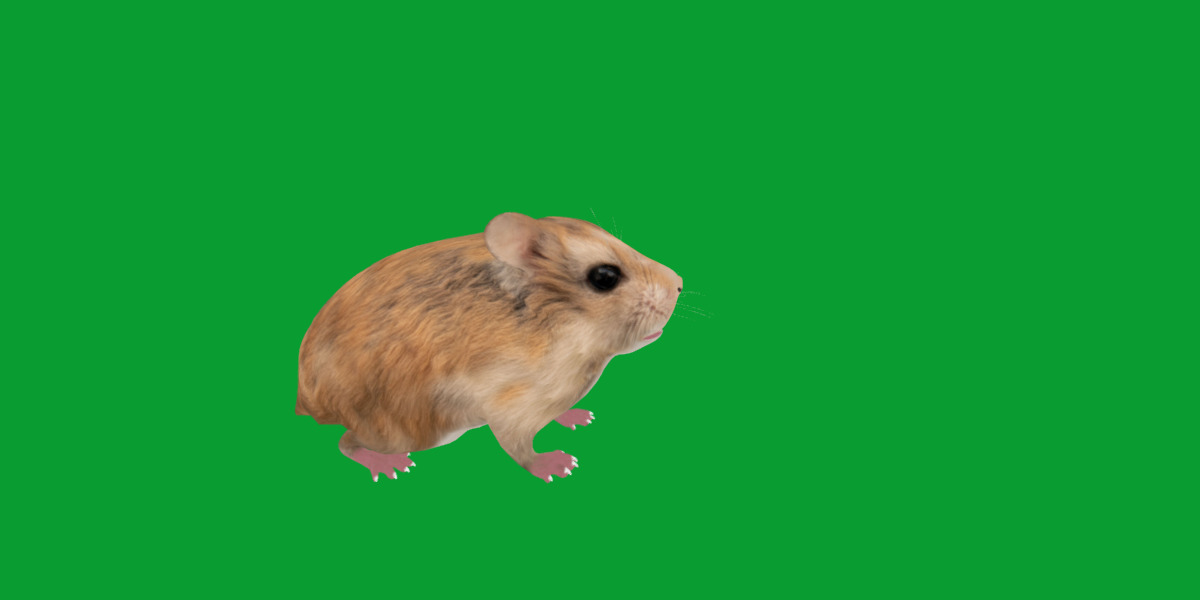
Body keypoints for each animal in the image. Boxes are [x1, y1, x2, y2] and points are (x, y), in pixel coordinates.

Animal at [297, 212, 682, 482]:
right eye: (604, 277)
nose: (679, 283)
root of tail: (306, 400)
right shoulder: (510, 406)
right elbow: (519, 448)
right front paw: (559, 465)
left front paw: (579, 417)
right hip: (411, 431)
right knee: (346, 443)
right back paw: (390, 467)